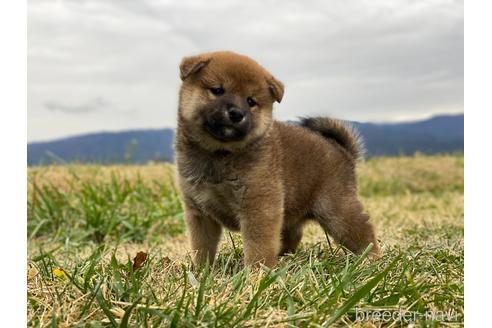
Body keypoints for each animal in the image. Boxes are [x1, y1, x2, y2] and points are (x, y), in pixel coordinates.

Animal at [175, 50, 378, 266]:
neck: (219, 154)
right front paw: (201, 270)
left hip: (337, 212)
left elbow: (258, 248)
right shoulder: (199, 211)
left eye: (251, 101)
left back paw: (371, 260)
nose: (237, 113)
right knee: (294, 236)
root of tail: (342, 151)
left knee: (364, 232)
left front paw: (257, 272)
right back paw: (284, 258)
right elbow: (202, 247)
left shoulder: (259, 207)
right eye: (217, 90)